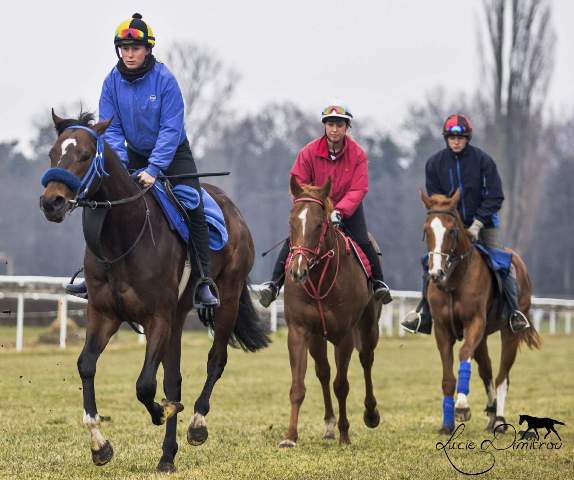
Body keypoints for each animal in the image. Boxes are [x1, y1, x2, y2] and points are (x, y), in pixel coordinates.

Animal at [39, 113, 268, 472]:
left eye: (86, 155)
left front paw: (162, 411)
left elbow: (145, 384)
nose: (52, 202)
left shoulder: (157, 317)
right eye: (52, 153)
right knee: (174, 378)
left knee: (216, 360)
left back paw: (197, 424)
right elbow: (86, 365)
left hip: (226, 298)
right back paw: (167, 456)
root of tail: (232, 209)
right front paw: (100, 445)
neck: (123, 237)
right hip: (178, 317)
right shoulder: (104, 314)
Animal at [420, 190, 544, 436]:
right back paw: (491, 411)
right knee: (486, 370)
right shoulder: (442, 329)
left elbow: (463, 354)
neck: (454, 280)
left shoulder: (474, 322)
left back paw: (499, 420)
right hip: (484, 337)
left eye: (452, 230)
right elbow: (448, 377)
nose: (436, 273)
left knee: (502, 376)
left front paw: (462, 406)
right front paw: (447, 423)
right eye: (426, 230)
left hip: (509, 332)